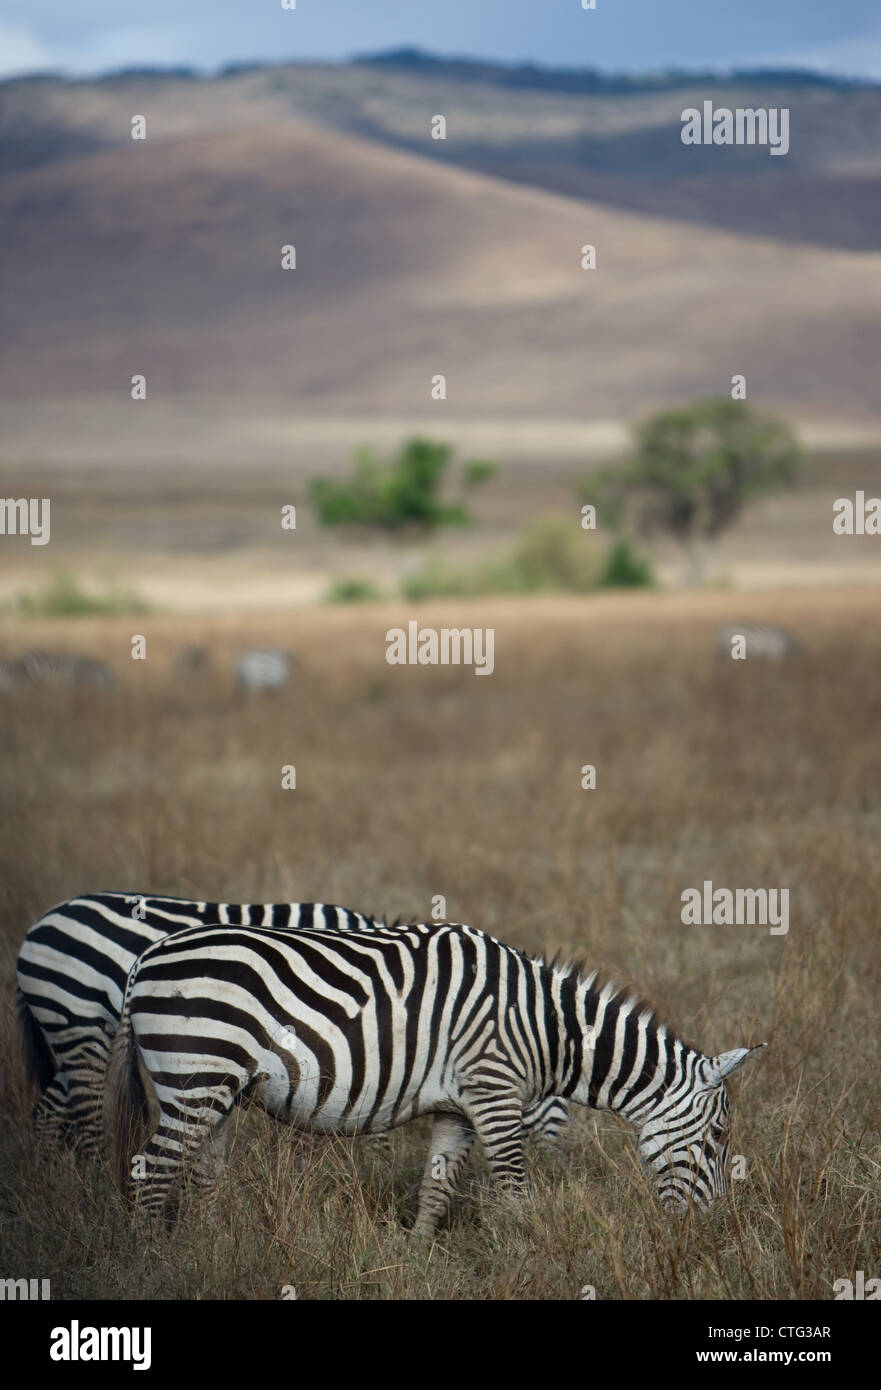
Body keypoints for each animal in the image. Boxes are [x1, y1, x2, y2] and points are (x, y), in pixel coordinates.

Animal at [15, 895, 569, 1156]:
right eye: (551, 1096)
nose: (559, 1171)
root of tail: (36, 928)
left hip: (73, 1034)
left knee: (48, 1110)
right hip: (82, 1024)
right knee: (84, 1114)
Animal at [102, 922, 761, 1228]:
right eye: (719, 1138)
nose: (707, 1231)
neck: (546, 1028)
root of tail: (145, 958)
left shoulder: (458, 1106)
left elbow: (436, 1188)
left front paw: (418, 1257)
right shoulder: (494, 1091)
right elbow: (515, 1190)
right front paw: (531, 1255)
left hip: (217, 1091)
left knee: (200, 1174)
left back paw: (208, 1246)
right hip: (196, 1077)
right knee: (153, 1171)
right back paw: (155, 1261)